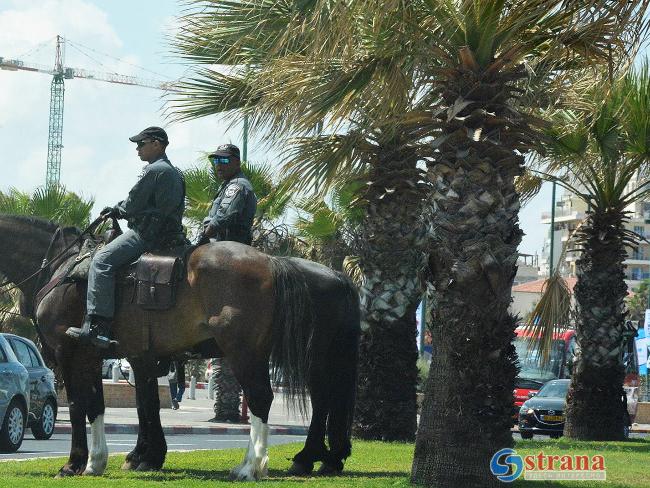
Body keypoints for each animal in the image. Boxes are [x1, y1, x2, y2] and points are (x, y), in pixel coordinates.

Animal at [0, 216, 360, 480]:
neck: (61, 268)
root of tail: (273, 264)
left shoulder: (69, 353)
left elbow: (81, 406)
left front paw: (76, 463)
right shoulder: (112, 355)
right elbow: (115, 406)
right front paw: (107, 461)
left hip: (251, 352)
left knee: (270, 399)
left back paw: (254, 466)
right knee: (321, 399)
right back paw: (318, 458)